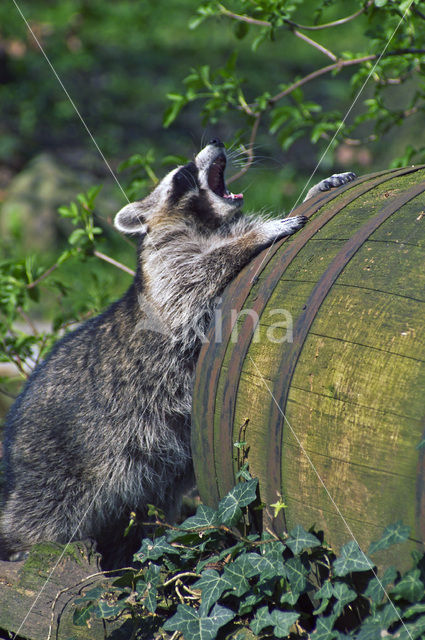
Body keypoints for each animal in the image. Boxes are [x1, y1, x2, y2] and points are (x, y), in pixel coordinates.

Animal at [0, 139, 354, 564]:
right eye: (183, 174)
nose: (217, 142)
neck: (210, 224)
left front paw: (315, 189)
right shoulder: (165, 268)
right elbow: (192, 283)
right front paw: (255, 235)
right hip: (52, 467)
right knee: (41, 517)